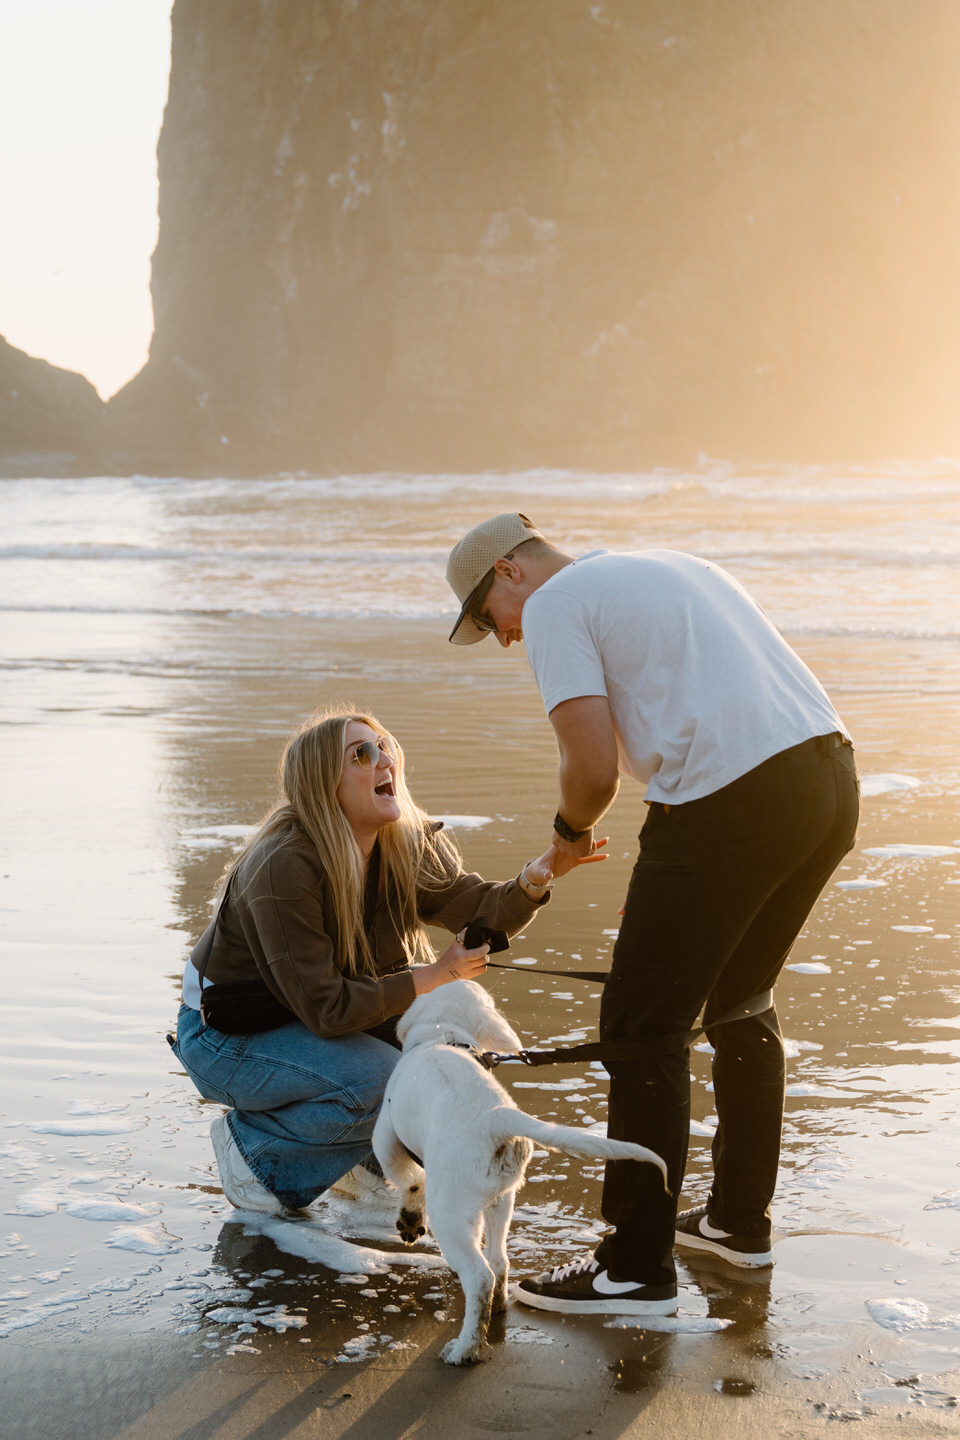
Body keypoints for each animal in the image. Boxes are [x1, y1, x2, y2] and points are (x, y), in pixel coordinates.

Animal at [371, 984, 667, 1365]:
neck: (442, 1035)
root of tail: (497, 1116)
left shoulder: (386, 1135)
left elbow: (408, 1178)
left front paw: (409, 1219)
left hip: (450, 1210)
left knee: (480, 1274)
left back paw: (465, 1348)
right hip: (501, 1199)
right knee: (498, 1260)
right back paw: (495, 1309)